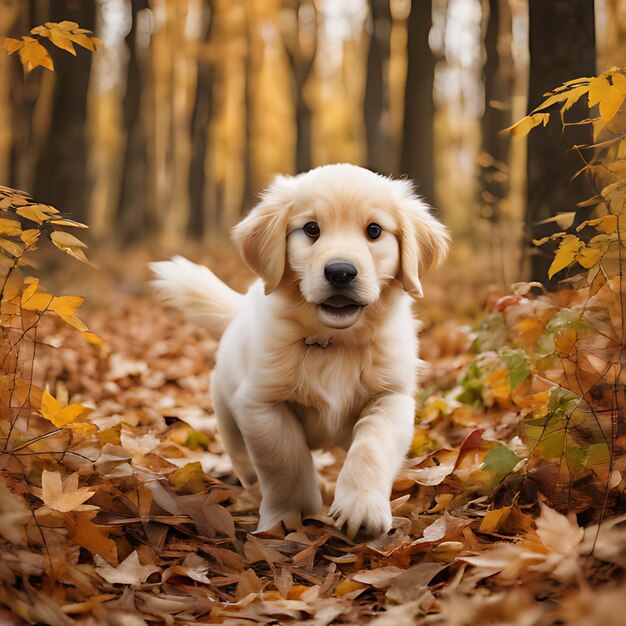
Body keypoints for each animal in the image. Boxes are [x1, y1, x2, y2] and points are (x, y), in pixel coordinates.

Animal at [149, 162, 446, 536]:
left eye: (374, 231)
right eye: (311, 229)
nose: (340, 272)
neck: (334, 343)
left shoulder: (391, 397)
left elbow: (371, 447)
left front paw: (361, 508)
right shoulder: (262, 403)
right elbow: (286, 461)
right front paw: (289, 516)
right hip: (226, 407)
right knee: (241, 453)